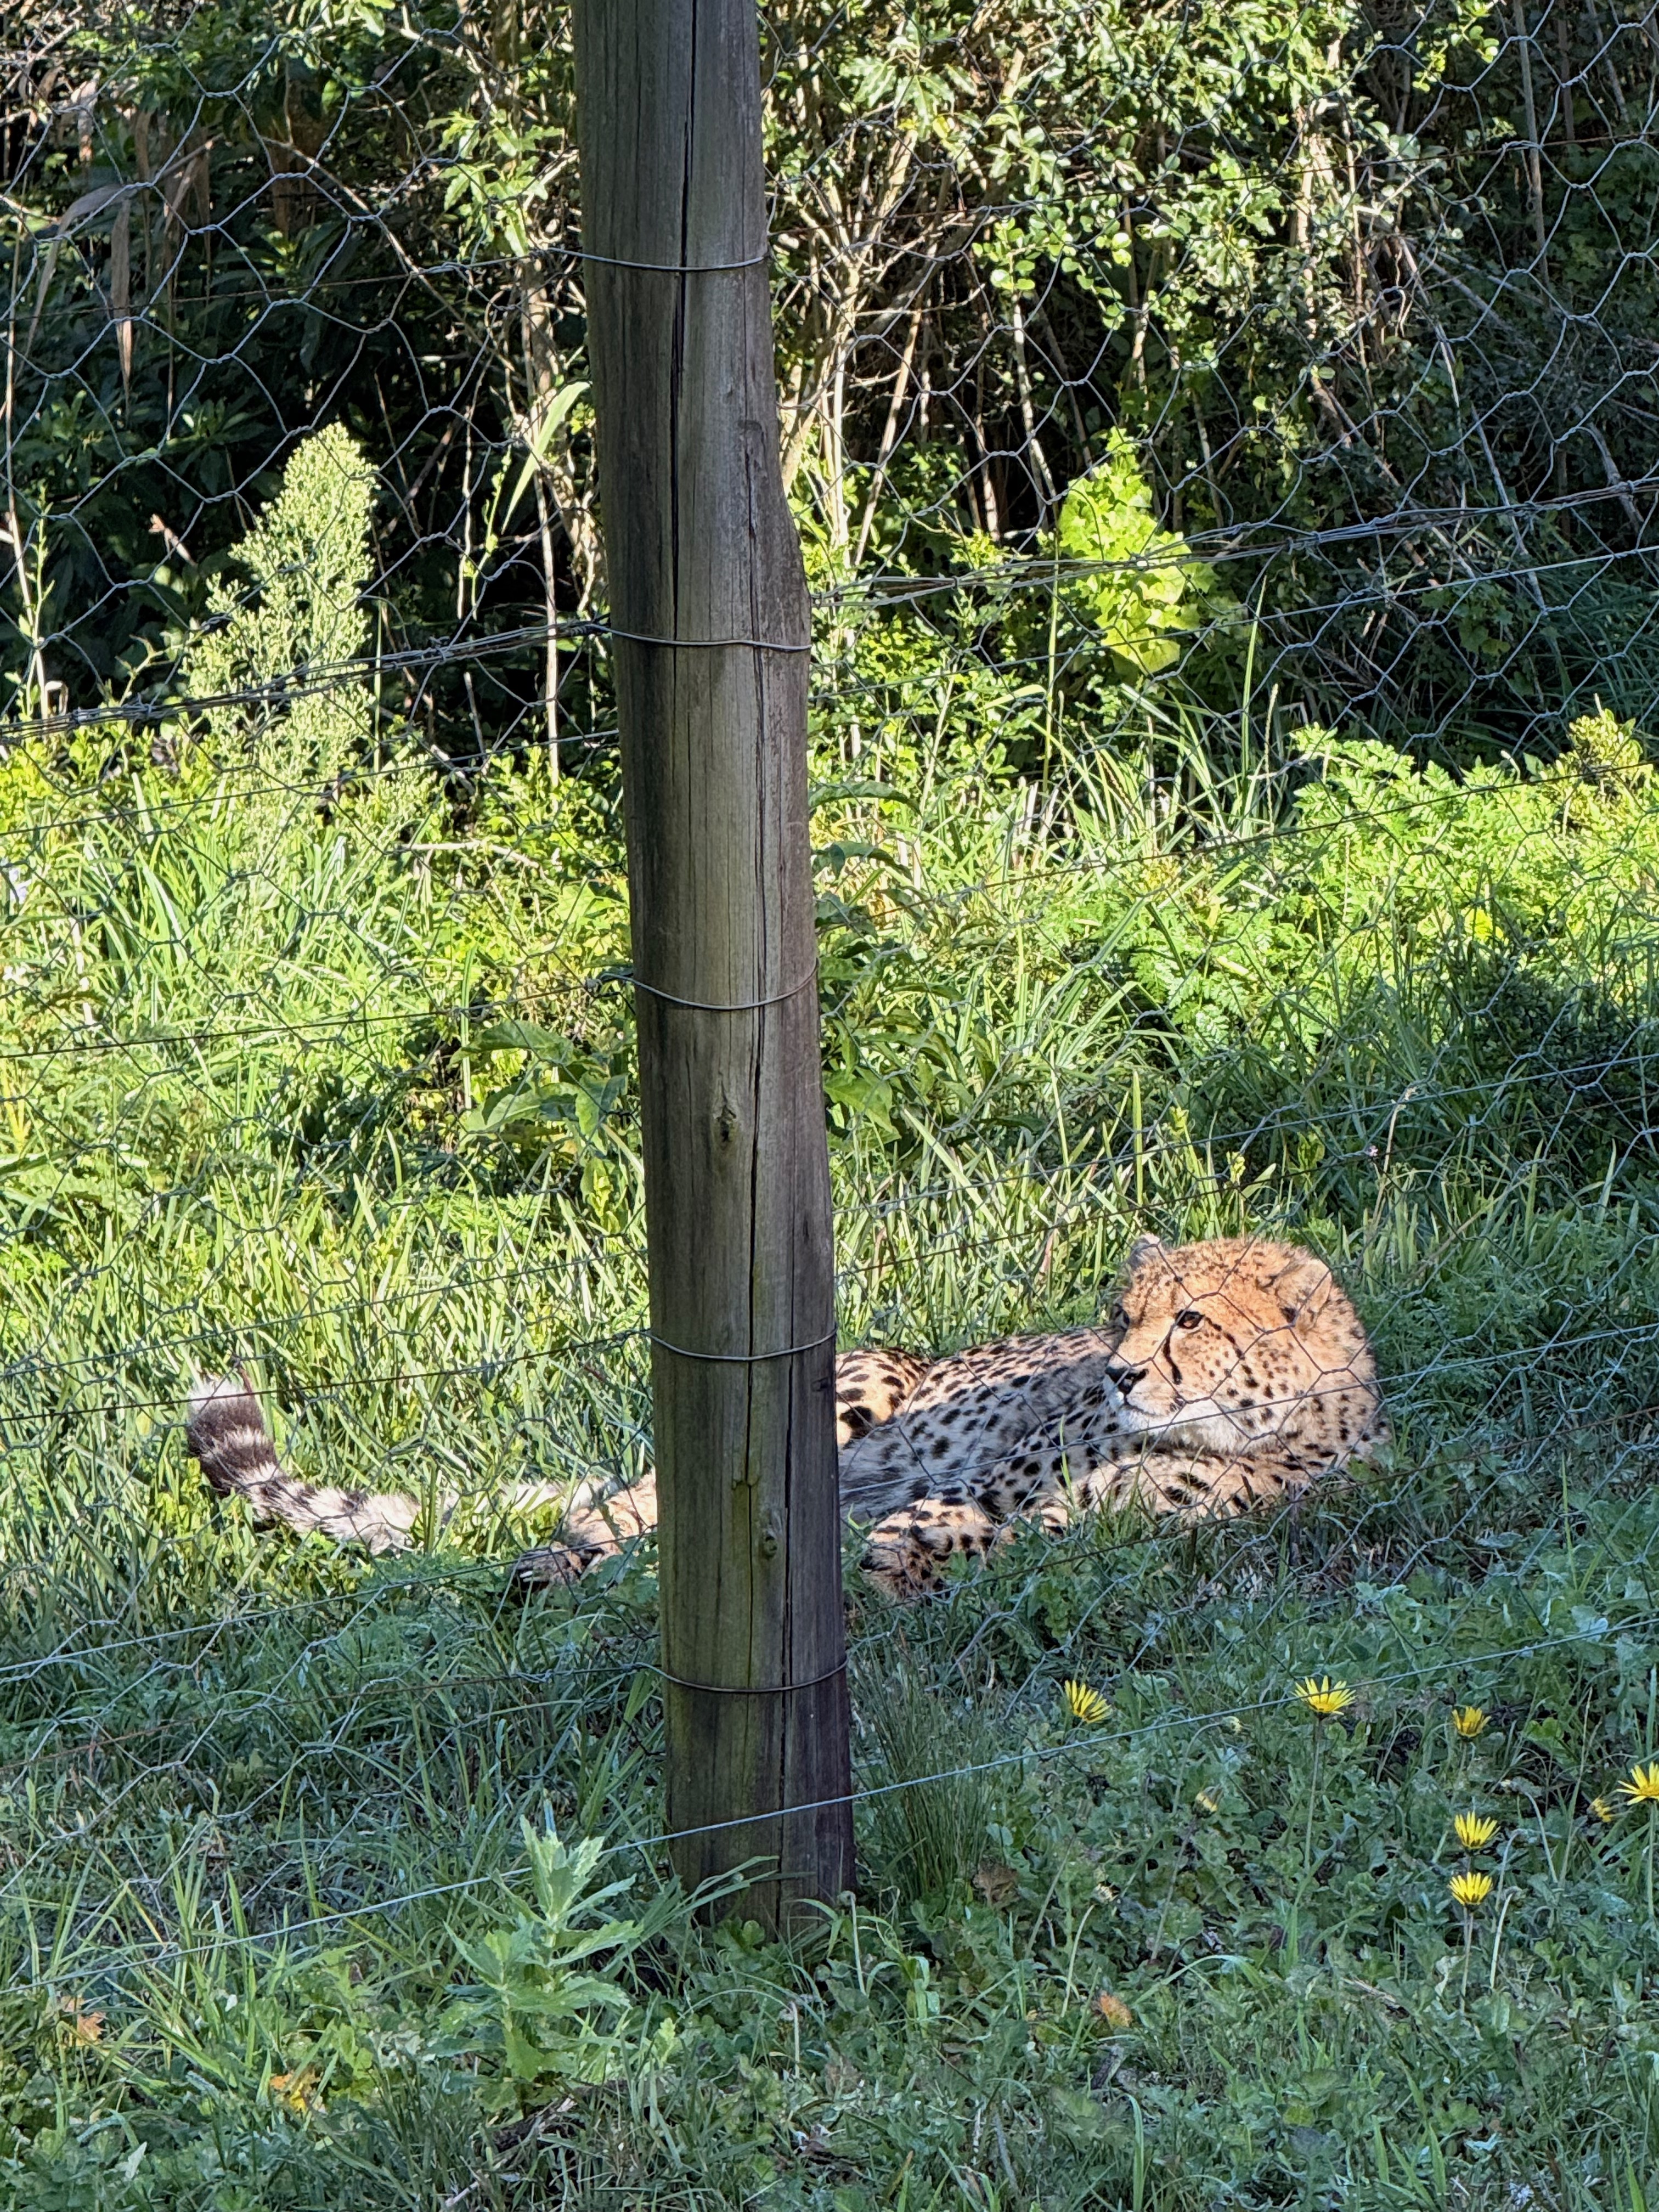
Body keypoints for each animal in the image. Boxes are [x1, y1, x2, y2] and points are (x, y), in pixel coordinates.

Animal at [185, 1234, 1385, 1599]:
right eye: (1120, 1314)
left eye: (1190, 1319)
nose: (1120, 1374)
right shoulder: (991, 1477)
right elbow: (955, 1514)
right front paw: (893, 1560)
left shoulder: (1099, 1527)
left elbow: (1000, 1538)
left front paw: (899, 1563)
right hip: (848, 1391)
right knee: (618, 1521)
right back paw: (558, 1568)